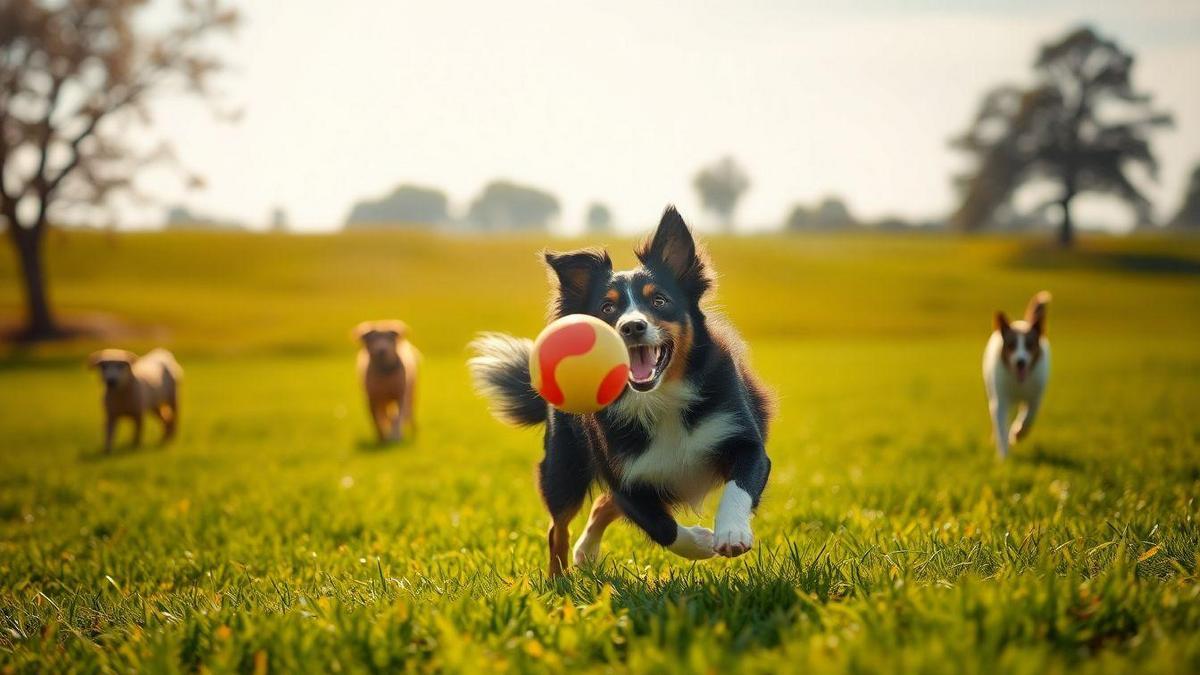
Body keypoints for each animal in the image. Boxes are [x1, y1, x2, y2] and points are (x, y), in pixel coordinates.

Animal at [463, 205, 772, 571]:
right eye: (608, 308)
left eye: (660, 300)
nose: (632, 326)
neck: (660, 398)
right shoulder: (625, 477)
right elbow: (662, 527)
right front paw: (700, 541)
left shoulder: (744, 439)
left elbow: (739, 485)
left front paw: (730, 532)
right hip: (563, 466)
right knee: (558, 527)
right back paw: (560, 578)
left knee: (599, 507)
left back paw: (584, 553)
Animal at [984, 289, 1051, 456]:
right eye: (1011, 345)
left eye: (1029, 345)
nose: (1021, 362)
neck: (1018, 382)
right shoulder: (1000, 399)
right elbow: (1001, 428)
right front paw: (1003, 455)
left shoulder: (1035, 396)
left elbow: (1029, 417)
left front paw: (1018, 433)